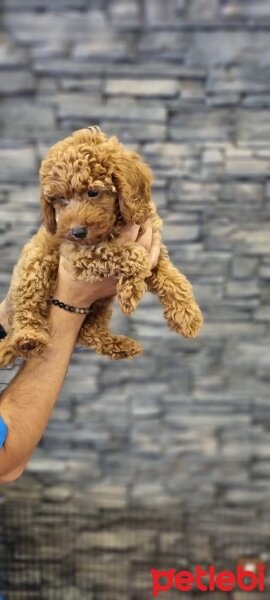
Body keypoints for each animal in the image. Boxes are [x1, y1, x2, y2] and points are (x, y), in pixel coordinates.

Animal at [0, 127, 204, 366]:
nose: (77, 232)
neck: (114, 226)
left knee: (88, 332)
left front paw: (187, 315)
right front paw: (131, 292)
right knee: (27, 308)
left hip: (100, 305)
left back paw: (122, 346)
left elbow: (174, 279)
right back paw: (29, 338)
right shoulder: (79, 255)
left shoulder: (155, 249)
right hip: (35, 266)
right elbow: (132, 253)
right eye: (61, 199)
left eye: (93, 192)